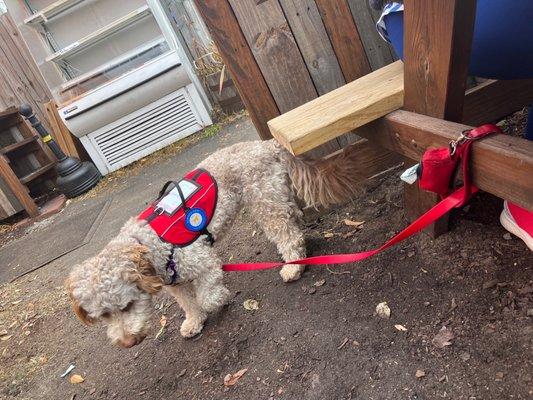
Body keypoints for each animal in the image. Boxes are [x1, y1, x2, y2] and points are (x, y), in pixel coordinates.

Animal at [64, 139, 360, 346]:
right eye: (104, 315)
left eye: (126, 306)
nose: (128, 343)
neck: (146, 244)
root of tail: (265, 145)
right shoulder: (176, 283)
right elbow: (190, 304)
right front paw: (194, 322)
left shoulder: (202, 261)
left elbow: (206, 298)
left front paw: (220, 298)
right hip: (277, 196)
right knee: (294, 222)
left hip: (265, 202)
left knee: (289, 235)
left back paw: (293, 266)